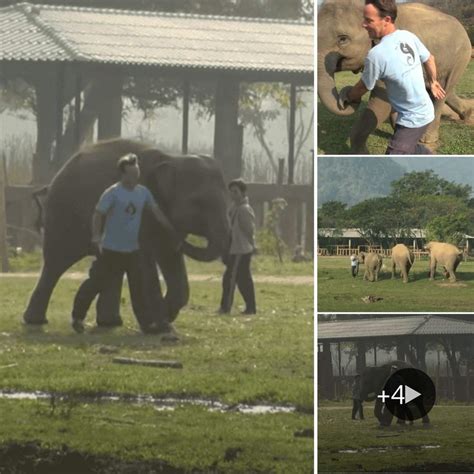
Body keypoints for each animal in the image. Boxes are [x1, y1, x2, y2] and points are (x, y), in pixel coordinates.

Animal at [23, 139, 231, 328]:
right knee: (57, 262)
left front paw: (165, 316)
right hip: (63, 214)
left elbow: (169, 256)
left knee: (109, 268)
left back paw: (109, 322)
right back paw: (36, 321)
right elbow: (144, 261)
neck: (171, 158)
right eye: (198, 203)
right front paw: (159, 324)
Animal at [316, 0, 472, 152]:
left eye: (343, 39)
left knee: (442, 92)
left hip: (460, 57)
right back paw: (468, 114)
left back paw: (427, 139)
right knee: (440, 89)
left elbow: (381, 103)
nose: (345, 99)